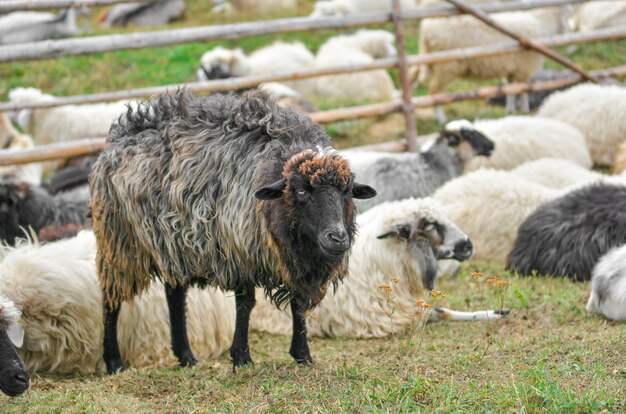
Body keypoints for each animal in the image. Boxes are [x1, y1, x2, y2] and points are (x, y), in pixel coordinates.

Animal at [89, 91, 376, 376]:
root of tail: (124, 130)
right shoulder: (239, 250)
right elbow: (245, 304)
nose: (337, 238)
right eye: (301, 190)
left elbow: (298, 305)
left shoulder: (296, 264)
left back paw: (186, 356)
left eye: (347, 191)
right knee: (111, 299)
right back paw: (113, 362)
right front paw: (241, 359)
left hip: (173, 240)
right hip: (119, 238)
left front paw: (303, 355)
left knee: (175, 295)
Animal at [416, 6, 568, 123]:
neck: (542, 23)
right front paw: (525, 110)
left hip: (429, 60)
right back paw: (440, 117)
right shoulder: (524, 68)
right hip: (448, 66)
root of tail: (426, 27)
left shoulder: (513, 70)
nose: (568, 28)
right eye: (567, 12)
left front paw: (510, 110)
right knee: (434, 89)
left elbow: (511, 90)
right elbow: (523, 89)